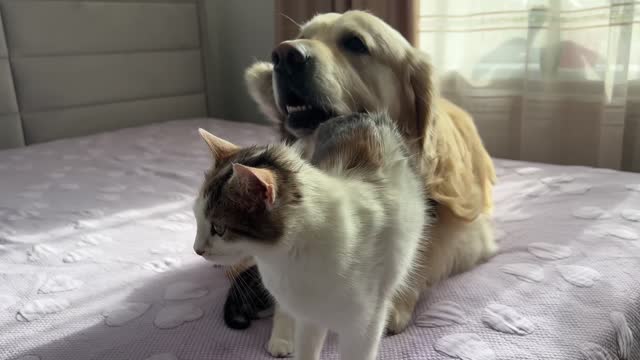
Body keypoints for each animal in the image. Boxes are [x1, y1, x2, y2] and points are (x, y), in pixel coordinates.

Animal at [192, 113, 428, 360]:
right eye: (197, 217)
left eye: (219, 228)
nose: (196, 249)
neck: (288, 257)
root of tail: (362, 115)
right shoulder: (307, 314)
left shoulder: (366, 322)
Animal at [242, 9, 498, 356]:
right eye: (304, 35)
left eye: (355, 43)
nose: (283, 55)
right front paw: (286, 325)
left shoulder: (469, 236)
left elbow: (425, 252)